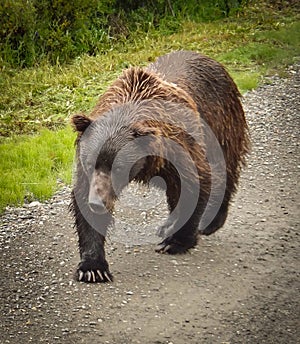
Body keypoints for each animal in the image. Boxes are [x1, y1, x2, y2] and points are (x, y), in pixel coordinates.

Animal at [70, 50, 248, 282]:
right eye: (91, 163)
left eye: (118, 168)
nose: (97, 202)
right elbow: (82, 199)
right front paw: (93, 267)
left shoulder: (180, 149)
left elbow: (195, 184)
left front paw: (175, 242)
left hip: (222, 124)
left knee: (225, 168)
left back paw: (210, 221)